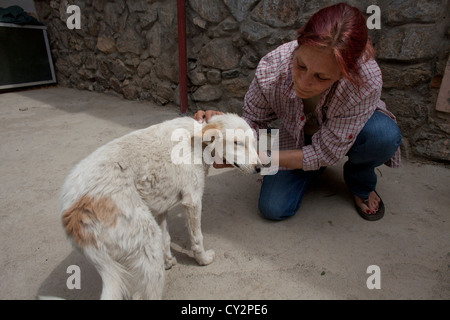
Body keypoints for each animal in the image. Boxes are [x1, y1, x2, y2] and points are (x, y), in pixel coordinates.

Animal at [61, 114, 262, 298]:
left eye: (253, 143)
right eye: (237, 143)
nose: (260, 167)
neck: (198, 142)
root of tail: (72, 215)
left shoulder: (160, 206)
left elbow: (166, 237)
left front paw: (168, 261)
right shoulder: (192, 200)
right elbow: (197, 238)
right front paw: (203, 259)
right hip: (147, 243)